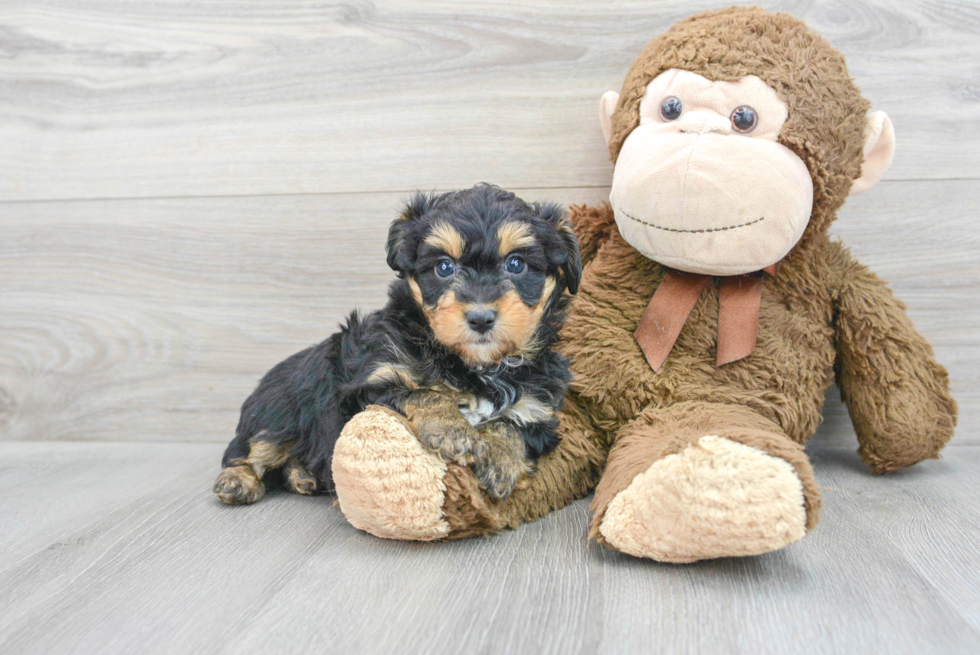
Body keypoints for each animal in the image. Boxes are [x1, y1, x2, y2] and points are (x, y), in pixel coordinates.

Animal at [214, 184, 580, 508]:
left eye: (516, 264)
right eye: (444, 267)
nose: (480, 318)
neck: (475, 365)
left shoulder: (540, 412)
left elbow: (511, 425)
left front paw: (500, 461)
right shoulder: (369, 386)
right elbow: (424, 393)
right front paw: (455, 432)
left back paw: (303, 476)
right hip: (279, 413)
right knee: (251, 448)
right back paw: (237, 481)